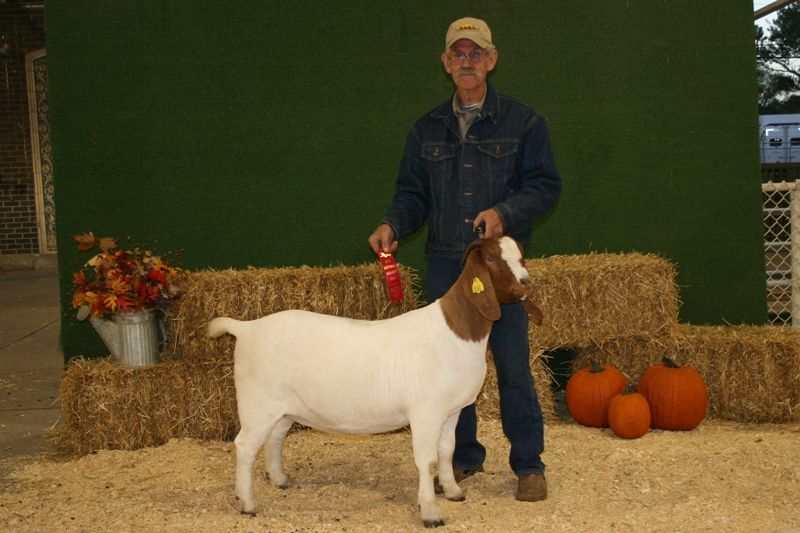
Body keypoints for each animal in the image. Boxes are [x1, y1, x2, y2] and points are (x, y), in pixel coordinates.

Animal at [206, 237, 544, 528]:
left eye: (521, 255)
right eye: (492, 259)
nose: (526, 283)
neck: (455, 332)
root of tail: (246, 328)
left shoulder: (451, 411)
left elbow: (447, 451)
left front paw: (452, 491)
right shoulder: (425, 412)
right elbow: (427, 460)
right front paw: (431, 512)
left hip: (283, 407)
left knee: (274, 439)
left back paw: (279, 480)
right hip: (257, 404)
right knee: (244, 446)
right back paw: (248, 503)